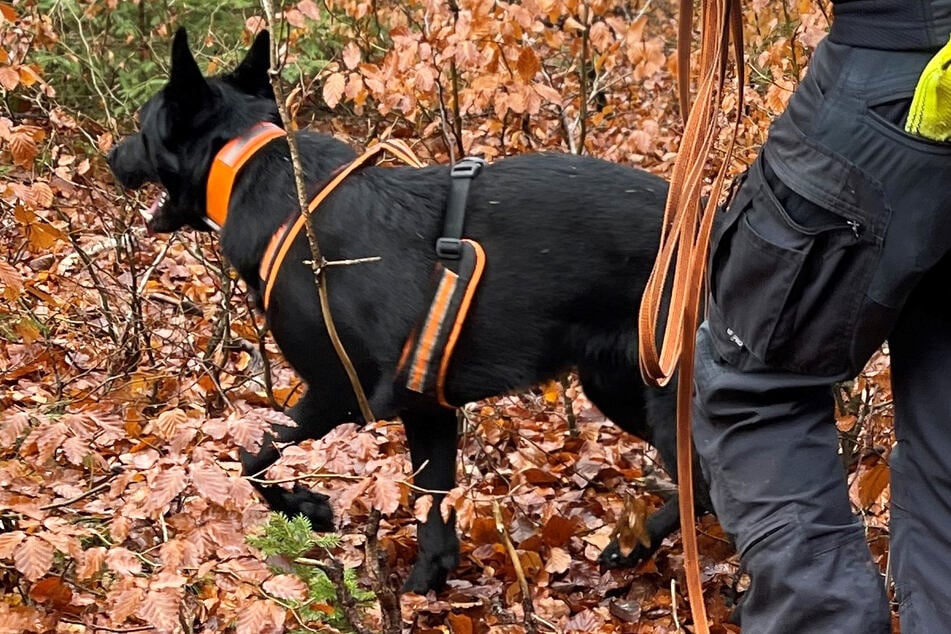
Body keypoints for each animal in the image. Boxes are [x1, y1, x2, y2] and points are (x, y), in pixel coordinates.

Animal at [108, 28, 712, 592]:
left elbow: (253, 457)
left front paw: (311, 508)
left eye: (141, 127)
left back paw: (637, 546)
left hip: (666, 393)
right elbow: (433, 507)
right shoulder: (428, 408)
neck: (260, 169)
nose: (111, 155)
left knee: (703, 485)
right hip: (617, 384)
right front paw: (427, 584)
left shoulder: (340, 392)